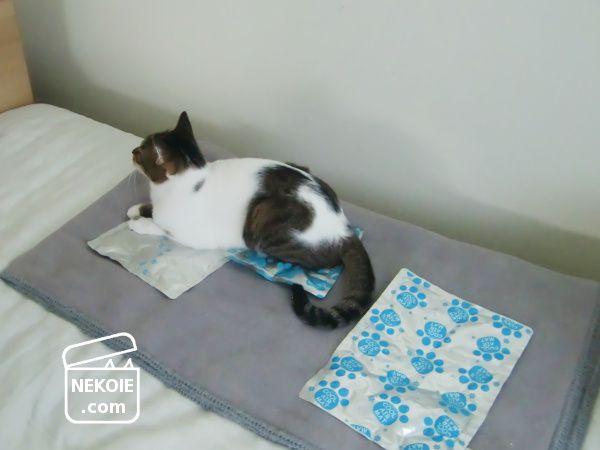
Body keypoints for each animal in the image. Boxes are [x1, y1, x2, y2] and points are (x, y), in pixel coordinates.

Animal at [128, 111, 374, 328]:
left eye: (140, 151)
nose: (132, 150)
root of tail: (344, 229)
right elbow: (152, 210)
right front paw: (136, 208)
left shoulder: (192, 235)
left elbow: (160, 227)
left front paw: (138, 223)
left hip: (263, 216)